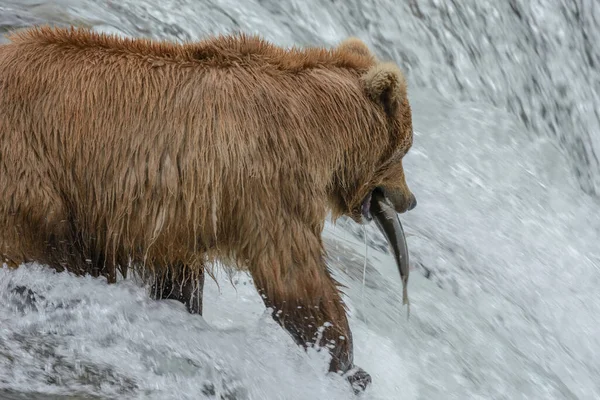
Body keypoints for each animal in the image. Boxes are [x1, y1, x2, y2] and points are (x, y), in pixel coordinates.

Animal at [0, 26, 418, 392]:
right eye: (404, 149)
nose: (409, 200)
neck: (322, 131)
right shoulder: (270, 181)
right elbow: (294, 276)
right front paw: (349, 365)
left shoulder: (179, 213)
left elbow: (180, 277)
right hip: (38, 177)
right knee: (49, 248)